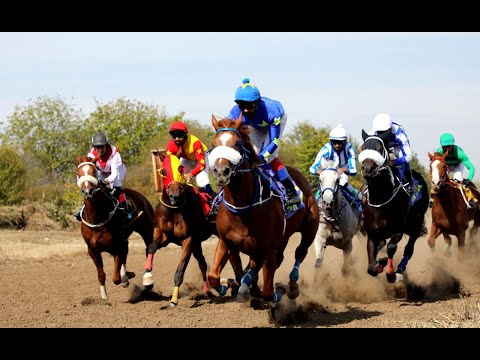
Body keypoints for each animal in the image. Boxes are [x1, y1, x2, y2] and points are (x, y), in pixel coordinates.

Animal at [76, 156, 154, 300]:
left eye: (94, 172)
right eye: (78, 174)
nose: (87, 191)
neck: (97, 218)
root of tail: (140, 196)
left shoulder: (117, 246)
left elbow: (116, 278)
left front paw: (127, 277)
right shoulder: (93, 250)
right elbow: (102, 275)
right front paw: (104, 297)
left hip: (146, 231)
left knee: (149, 250)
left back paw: (147, 278)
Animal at [141, 152, 242, 306]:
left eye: (181, 169)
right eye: (164, 171)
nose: (175, 196)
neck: (174, 210)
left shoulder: (188, 239)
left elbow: (180, 271)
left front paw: (174, 300)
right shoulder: (162, 234)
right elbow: (151, 247)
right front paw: (147, 278)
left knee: (230, 256)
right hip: (198, 243)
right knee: (203, 263)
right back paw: (209, 290)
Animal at [206, 115, 318, 304]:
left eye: (237, 143)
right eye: (214, 144)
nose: (221, 171)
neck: (242, 208)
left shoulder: (269, 248)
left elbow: (268, 291)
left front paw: (277, 290)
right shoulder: (225, 241)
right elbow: (213, 276)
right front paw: (228, 285)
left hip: (309, 229)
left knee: (300, 252)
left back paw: (292, 286)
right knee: (258, 264)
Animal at [358, 131, 430, 282]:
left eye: (380, 148)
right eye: (362, 148)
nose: (367, 169)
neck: (380, 201)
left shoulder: (398, 230)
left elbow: (391, 248)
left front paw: (391, 273)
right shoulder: (372, 233)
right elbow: (371, 268)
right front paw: (380, 263)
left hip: (416, 224)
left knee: (409, 249)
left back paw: (400, 269)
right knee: (382, 244)